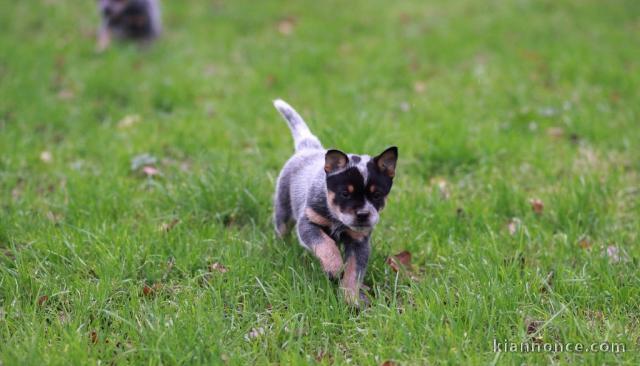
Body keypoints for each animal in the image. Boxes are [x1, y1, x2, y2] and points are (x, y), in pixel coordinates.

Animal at [272, 98, 398, 304]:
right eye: (345, 193)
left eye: (377, 195)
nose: (363, 214)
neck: (337, 219)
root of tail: (309, 148)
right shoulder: (308, 223)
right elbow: (325, 244)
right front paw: (335, 267)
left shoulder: (359, 242)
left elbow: (354, 272)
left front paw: (351, 298)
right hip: (283, 208)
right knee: (282, 229)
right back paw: (282, 248)